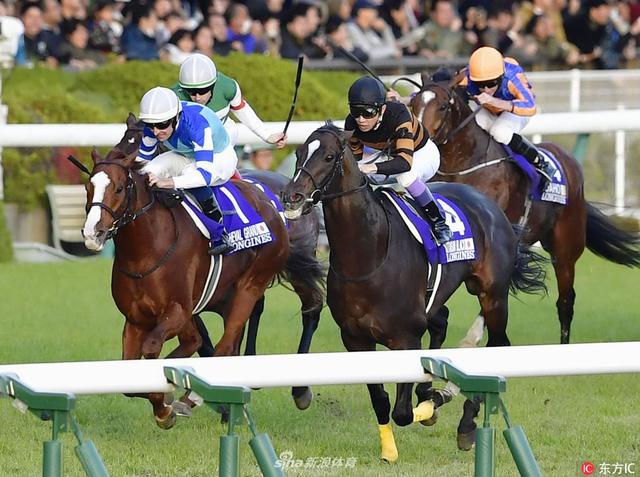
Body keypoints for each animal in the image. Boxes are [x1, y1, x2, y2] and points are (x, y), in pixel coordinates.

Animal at [81, 114, 314, 424]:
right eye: (88, 187)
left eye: (118, 188)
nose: (91, 233)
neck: (145, 253)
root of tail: (272, 204)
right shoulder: (136, 319)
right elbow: (131, 379)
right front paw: (164, 402)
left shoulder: (178, 311)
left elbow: (157, 350)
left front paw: (167, 402)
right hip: (225, 297)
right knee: (227, 346)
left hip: (250, 286)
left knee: (225, 346)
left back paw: (193, 398)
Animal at [282, 124, 548, 460]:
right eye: (298, 152)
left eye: (329, 156)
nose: (291, 197)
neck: (368, 256)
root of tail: (489, 205)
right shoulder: (355, 339)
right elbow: (382, 401)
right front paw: (389, 449)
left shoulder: (405, 338)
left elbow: (403, 412)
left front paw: (432, 405)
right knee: (442, 319)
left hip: (492, 295)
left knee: (498, 345)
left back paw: (465, 422)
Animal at [412, 72, 636, 342]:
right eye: (413, 103)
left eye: (443, 106)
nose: (419, 139)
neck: (464, 164)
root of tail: (568, 160)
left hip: (565, 249)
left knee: (564, 302)